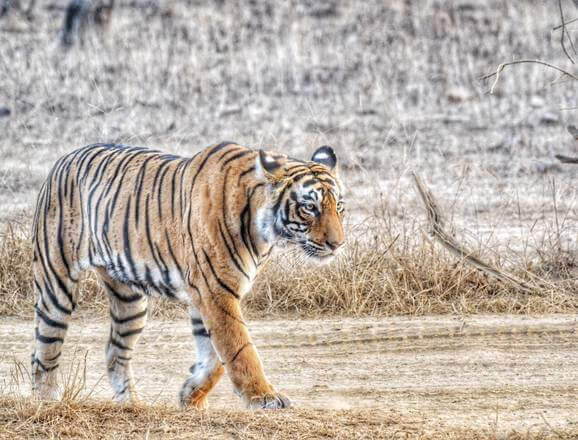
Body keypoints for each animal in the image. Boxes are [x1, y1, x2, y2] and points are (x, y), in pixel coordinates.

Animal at [30, 141, 342, 410]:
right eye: (309, 207)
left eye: (338, 206)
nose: (337, 244)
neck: (263, 231)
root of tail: (64, 158)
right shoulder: (216, 291)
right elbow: (239, 348)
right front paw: (264, 398)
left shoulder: (206, 294)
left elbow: (215, 358)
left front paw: (190, 397)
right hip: (57, 284)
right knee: (44, 349)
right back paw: (46, 401)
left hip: (130, 301)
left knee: (114, 352)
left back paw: (132, 404)